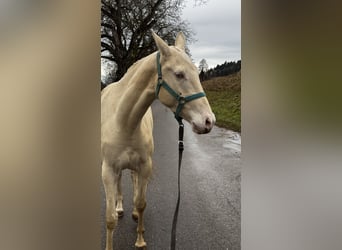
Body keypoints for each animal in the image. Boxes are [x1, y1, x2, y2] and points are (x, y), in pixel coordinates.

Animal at [100, 30, 215, 249]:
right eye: (179, 74)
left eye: (198, 73)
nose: (208, 121)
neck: (124, 122)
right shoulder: (108, 170)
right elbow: (109, 218)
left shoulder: (145, 165)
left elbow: (141, 202)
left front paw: (140, 240)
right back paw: (120, 206)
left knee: (134, 181)